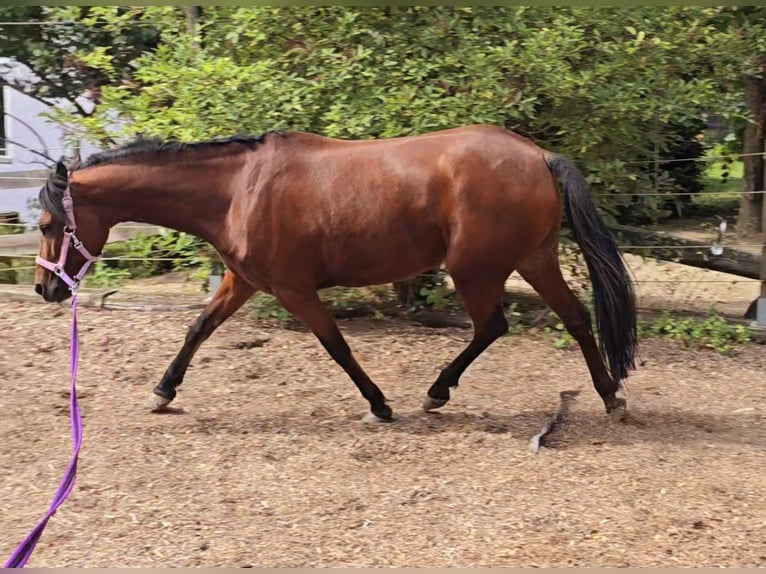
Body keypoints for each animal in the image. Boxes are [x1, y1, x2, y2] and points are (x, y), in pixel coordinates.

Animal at [33, 126, 640, 424]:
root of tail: (537, 155)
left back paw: (436, 394)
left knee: (493, 326)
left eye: (45, 223)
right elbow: (198, 328)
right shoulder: (244, 281)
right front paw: (162, 393)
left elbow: (338, 347)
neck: (237, 190)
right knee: (576, 318)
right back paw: (610, 396)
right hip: (532, 258)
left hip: (475, 269)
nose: (45, 288)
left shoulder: (294, 290)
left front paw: (380, 406)